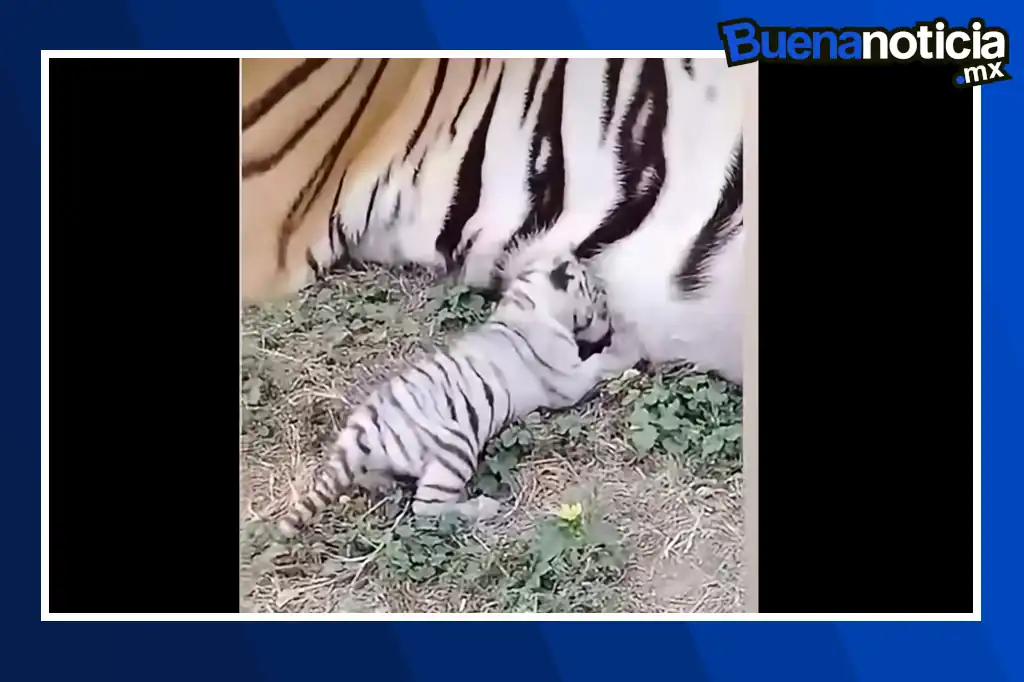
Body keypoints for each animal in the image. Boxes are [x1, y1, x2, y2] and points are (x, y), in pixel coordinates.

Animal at [277, 250, 613, 537]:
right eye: (597, 295)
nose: (609, 318)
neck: (528, 301)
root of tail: (356, 437)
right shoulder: (569, 379)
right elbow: (602, 362)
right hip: (456, 445)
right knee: (426, 509)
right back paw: (483, 505)